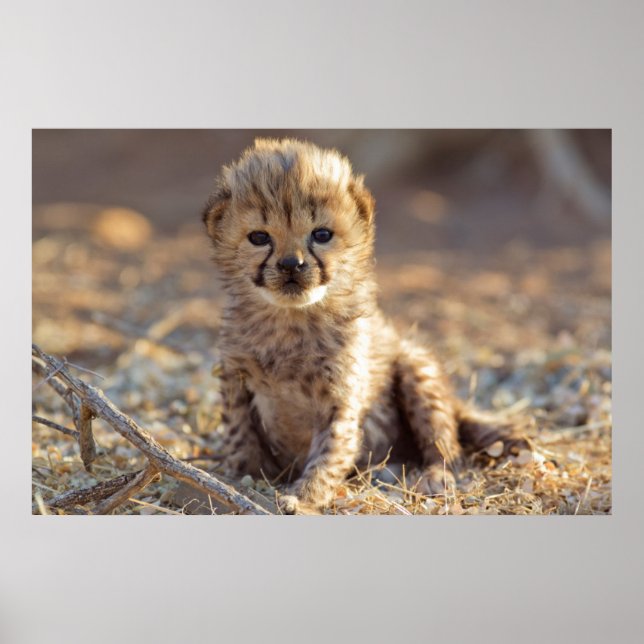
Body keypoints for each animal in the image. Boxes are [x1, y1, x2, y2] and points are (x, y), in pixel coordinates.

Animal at [202, 137, 528, 514]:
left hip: (416, 368)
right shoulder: (235, 378)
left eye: (321, 234)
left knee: (446, 442)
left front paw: (304, 497)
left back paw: (432, 475)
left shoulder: (340, 398)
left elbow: (330, 452)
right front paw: (242, 477)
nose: (291, 265)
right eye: (259, 237)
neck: (291, 320)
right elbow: (239, 436)